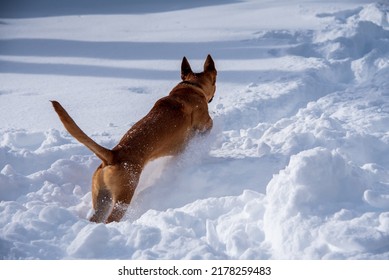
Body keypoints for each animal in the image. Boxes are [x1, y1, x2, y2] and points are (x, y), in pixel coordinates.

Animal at [50, 55, 217, 223]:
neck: (191, 87)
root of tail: (112, 155)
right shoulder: (205, 124)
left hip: (102, 198)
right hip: (124, 196)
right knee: (112, 218)